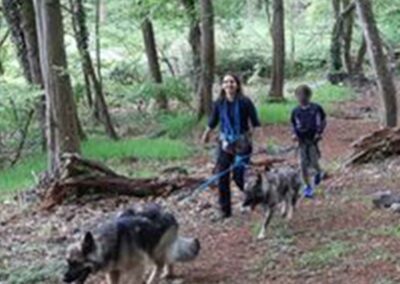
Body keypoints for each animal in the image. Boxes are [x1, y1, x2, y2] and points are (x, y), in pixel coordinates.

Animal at [64, 204, 202, 284]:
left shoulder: (137, 268)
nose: (64, 279)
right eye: (68, 262)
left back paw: (153, 279)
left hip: (154, 251)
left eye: (75, 263)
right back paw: (168, 273)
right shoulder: (113, 272)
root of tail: (168, 213)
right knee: (169, 259)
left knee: (160, 265)